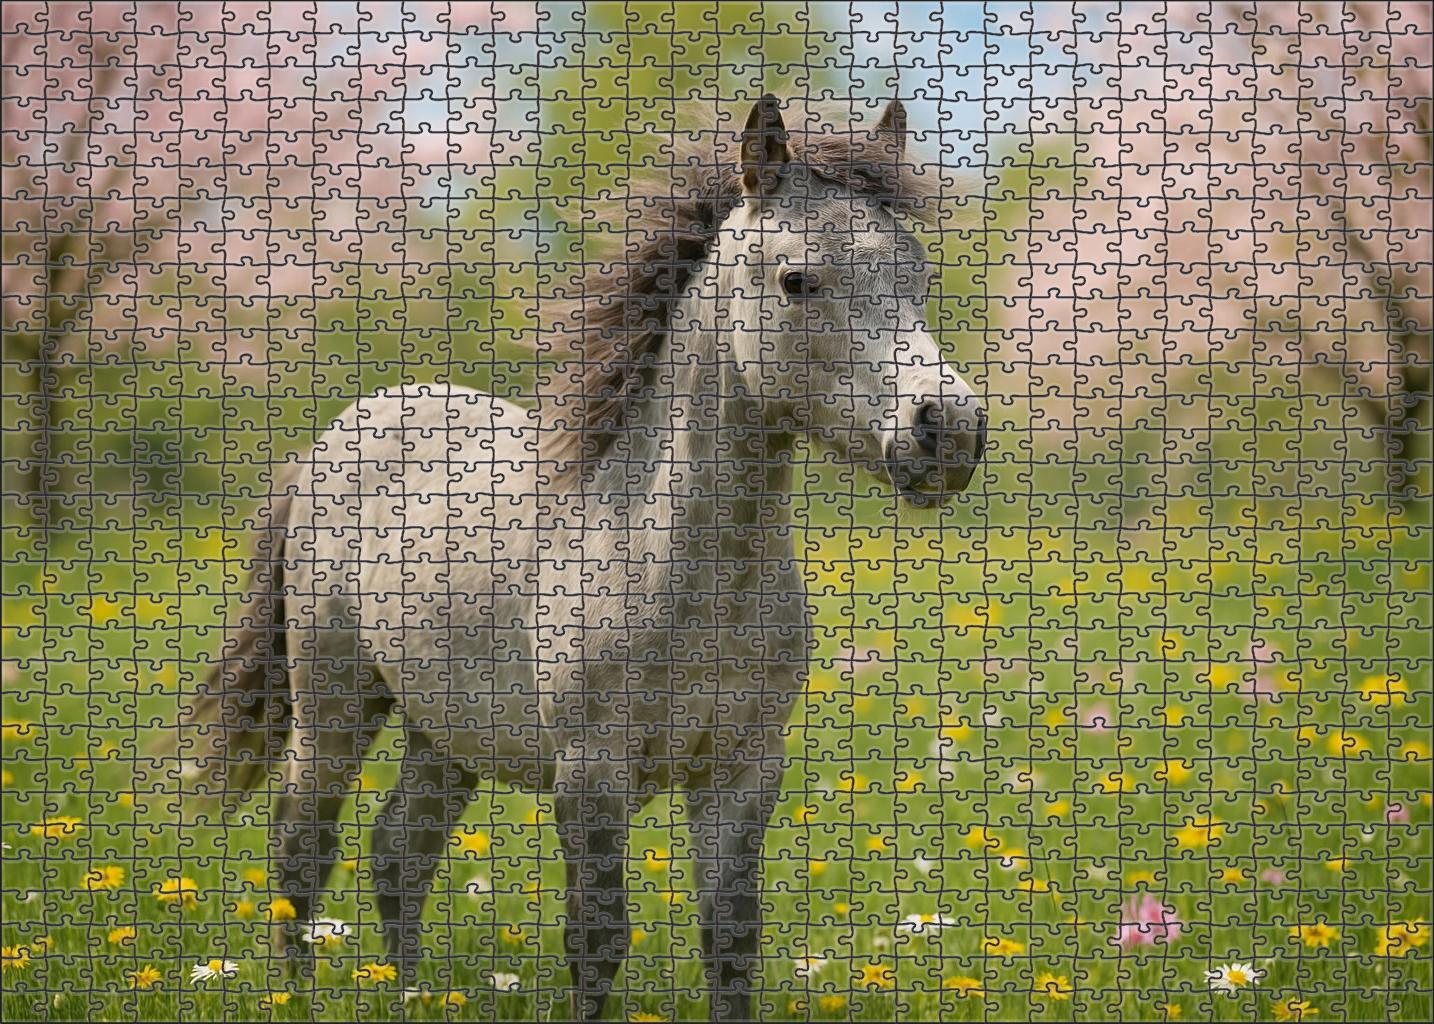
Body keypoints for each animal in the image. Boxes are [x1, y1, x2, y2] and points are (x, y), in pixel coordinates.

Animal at [180, 95, 986, 1021]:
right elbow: (597, 941)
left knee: (399, 850)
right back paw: (299, 997)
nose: (949, 430)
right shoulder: (591, 775)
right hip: (333, 705)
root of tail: (332, 441)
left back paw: (408, 994)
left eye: (919, 277)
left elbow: (731, 940)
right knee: (302, 846)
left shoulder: (743, 772)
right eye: (797, 281)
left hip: (447, 731)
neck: (681, 570)